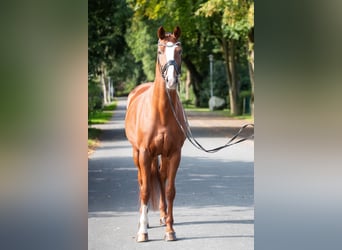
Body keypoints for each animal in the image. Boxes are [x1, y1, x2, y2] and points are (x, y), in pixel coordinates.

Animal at [125, 25, 186, 242]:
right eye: (160, 51)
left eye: (179, 51)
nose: (171, 80)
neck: (161, 112)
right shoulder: (144, 153)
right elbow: (145, 190)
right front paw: (142, 231)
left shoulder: (174, 154)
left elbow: (169, 190)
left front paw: (170, 229)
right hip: (137, 154)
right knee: (142, 181)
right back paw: (143, 222)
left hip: (162, 156)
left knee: (160, 177)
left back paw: (163, 215)